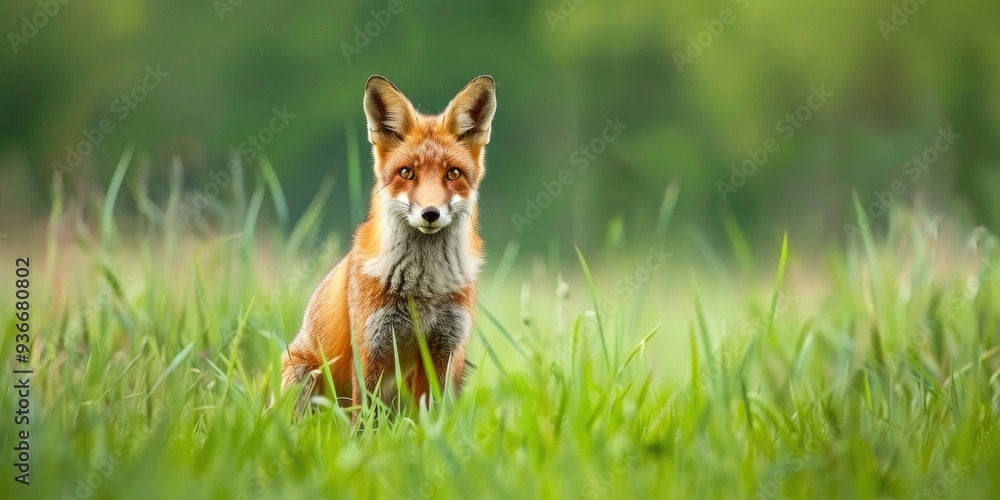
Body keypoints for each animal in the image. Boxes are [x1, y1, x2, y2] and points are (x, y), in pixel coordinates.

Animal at [278, 75, 497, 419]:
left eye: (453, 174)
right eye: (407, 172)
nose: (430, 213)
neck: (424, 288)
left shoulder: (446, 348)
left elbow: (433, 416)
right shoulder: (372, 346)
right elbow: (363, 419)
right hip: (303, 372)